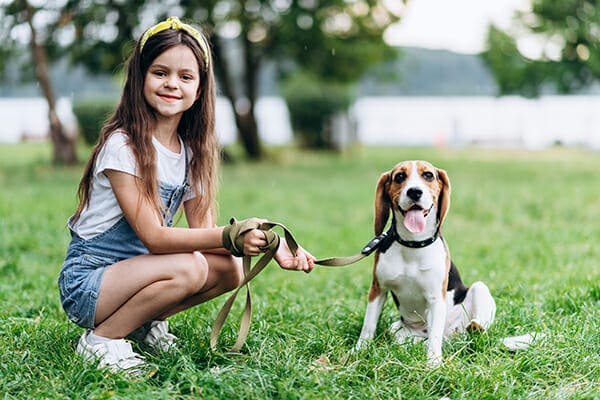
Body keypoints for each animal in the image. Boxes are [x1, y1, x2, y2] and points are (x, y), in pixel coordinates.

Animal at [356, 161, 496, 368]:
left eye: (428, 175)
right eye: (399, 177)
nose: (415, 192)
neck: (413, 244)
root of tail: (451, 336)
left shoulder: (436, 298)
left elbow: (434, 335)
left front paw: (434, 364)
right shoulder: (377, 289)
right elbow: (368, 326)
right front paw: (357, 352)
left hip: (479, 289)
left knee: (473, 330)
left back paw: (473, 328)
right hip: (395, 329)